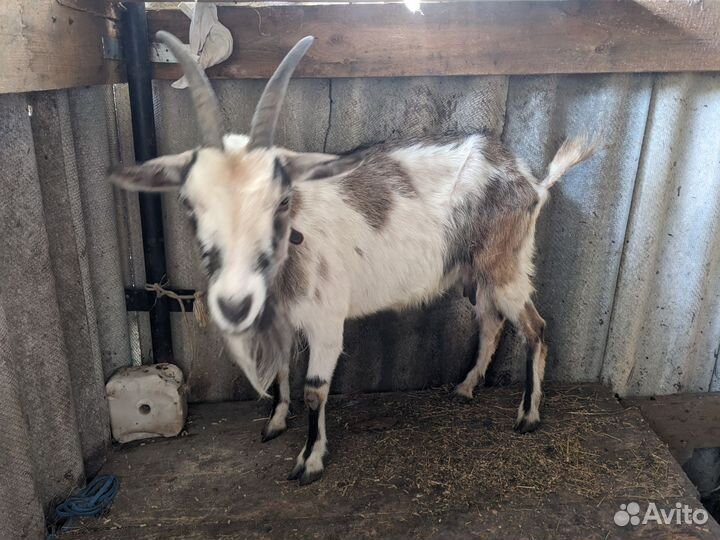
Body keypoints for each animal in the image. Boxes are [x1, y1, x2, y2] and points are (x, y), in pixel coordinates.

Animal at [110, 31, 595, 485]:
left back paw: (528, 416)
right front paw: (275, 422)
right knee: (491, 324)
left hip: (505, 265)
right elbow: (282, 371)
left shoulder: (326, 321)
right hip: (474, 271)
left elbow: (314, 389)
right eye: (189, 204)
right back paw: (465, 387)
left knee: (535, 328)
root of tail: (531, 181)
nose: (233, 302)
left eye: (281, 200)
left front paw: (310, 460)